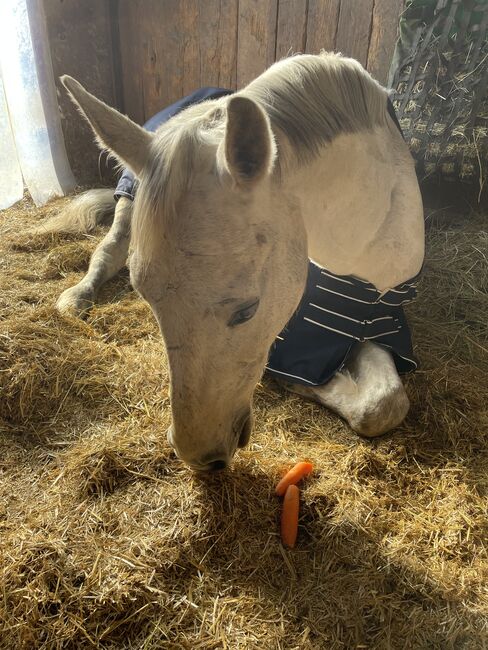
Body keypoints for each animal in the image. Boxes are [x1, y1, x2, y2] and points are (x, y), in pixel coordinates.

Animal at [46, 50, 428, 466]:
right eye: (146, 301)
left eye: (247, 311)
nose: (199, 456)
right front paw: (306, 384)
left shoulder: (384, 328)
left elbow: (383, 405)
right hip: (129, 197)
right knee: (109, 250)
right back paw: (75, 299)